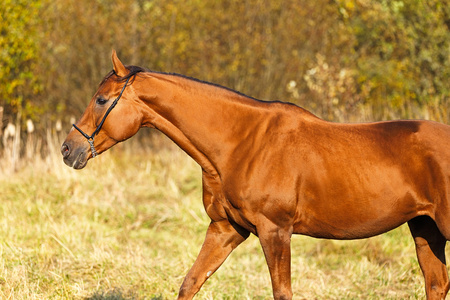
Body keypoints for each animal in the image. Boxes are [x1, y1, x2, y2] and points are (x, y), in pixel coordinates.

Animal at [60, 50, 450, 298]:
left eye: (100, 100)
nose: (68, 149)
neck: (242, 143)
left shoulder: (275, 231)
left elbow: (282, 292)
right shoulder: (226, 229)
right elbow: (190, 282)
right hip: (425, 229)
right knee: (436, 284)